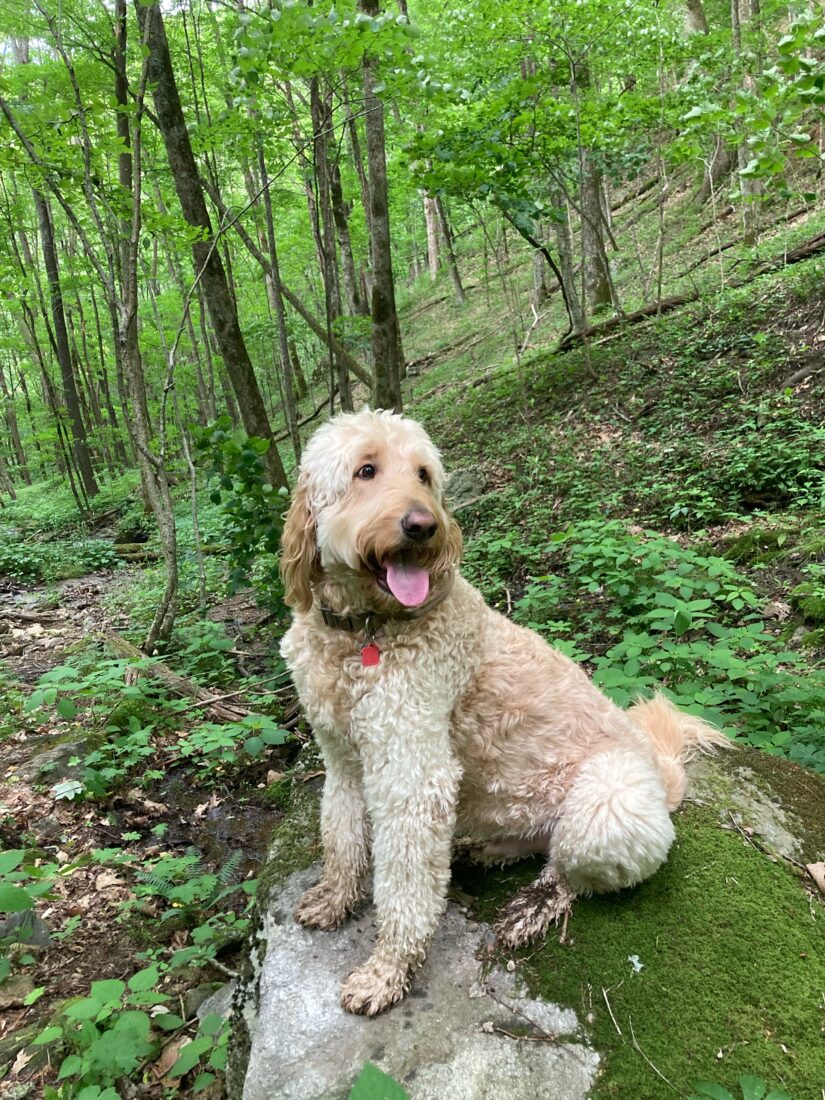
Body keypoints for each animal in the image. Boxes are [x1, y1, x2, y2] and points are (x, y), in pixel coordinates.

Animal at [279, 409, 730, 1016]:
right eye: (365, 470)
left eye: (424, 475)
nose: (424, 527)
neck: (365, 631)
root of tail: (664, 777)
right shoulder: (344, 759)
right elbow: (341, 837)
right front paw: (334, 898)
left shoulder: (412, 774)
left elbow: (404, 889)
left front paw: (388, 970)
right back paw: (481, 849)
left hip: (611, 802)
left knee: (572, 873)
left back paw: (532, 906)